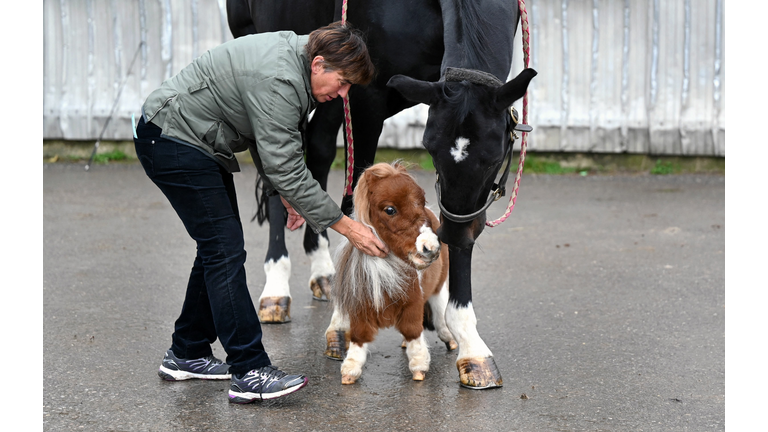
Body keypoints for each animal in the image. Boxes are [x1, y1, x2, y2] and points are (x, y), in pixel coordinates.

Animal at [326, 163, 456, 384]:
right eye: (390, 210)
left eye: (422, 201)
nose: (430, 248)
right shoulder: (360, 308)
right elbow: (359, 336)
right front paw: (350, 371)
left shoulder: (413, 303)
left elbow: (413, 331)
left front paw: (419, 367)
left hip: (440, 284)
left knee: (439, 309)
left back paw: (449, 339)